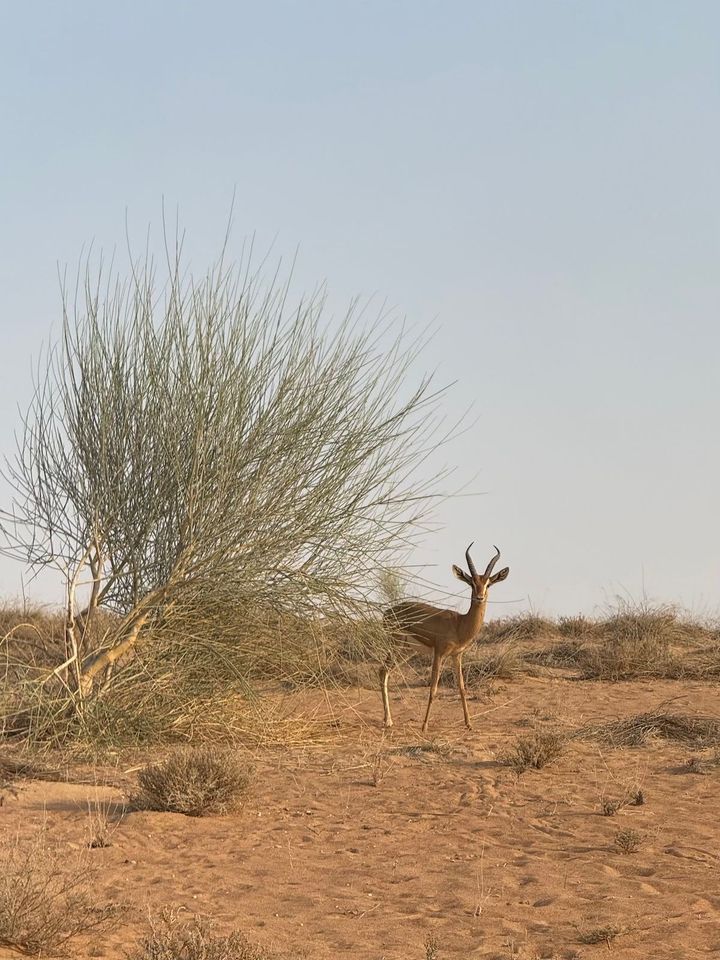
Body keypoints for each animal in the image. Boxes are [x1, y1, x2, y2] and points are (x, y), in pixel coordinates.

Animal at [381, 543, 509, 732]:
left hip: (406, 650)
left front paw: (469, 723)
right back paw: (388, 721)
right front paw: (425, 726)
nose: (479, 597)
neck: (460, 624)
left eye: (488, 583)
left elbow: (462, 688)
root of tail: (387, 612)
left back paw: (387, 720)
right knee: (383, 671)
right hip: (396, 645)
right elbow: (433, 688)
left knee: (386, 672)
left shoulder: (457, 655)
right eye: (472, 582)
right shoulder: (439, 653)